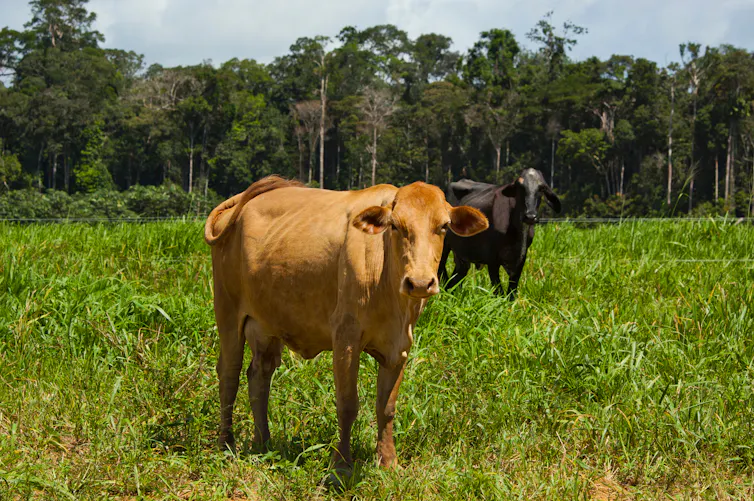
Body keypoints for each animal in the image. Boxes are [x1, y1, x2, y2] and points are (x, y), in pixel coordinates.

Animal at [204, 175, 488, 479]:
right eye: (395, 225)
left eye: (444, 226)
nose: (420, 283)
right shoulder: (346, 339)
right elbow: (348, 404)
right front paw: (341, 466)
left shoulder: (400, 347)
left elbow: (386, 407)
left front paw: (388, 462)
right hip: (228, 312)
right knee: (229, 374)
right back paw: (226, 443)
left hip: (266, 325)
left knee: (258, 375)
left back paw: (262, 442)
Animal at [439, 168, 561, 299]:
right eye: (520, 187)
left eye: (542, 188)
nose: (530, 216)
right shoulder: (492, 259)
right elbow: (499, 292)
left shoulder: (521, 259)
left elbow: (512, 292)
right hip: (443, 245)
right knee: (441, 270)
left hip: (462, 255)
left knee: (455, 279)